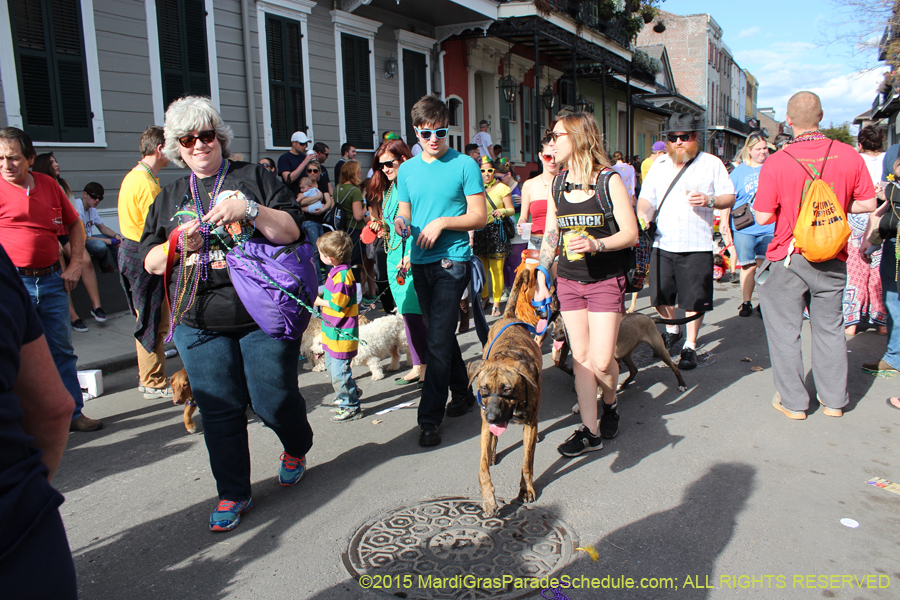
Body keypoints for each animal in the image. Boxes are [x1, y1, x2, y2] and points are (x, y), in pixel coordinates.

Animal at [468, 268, 544, 516]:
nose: (492, 416)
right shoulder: (484, 425)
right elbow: (482, 466)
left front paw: (526, 489)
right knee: (492, 441)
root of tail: (509, 315)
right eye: (483, 389)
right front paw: (488, 498)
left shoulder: (529, 421)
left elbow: (527, 462)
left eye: (508, 390)